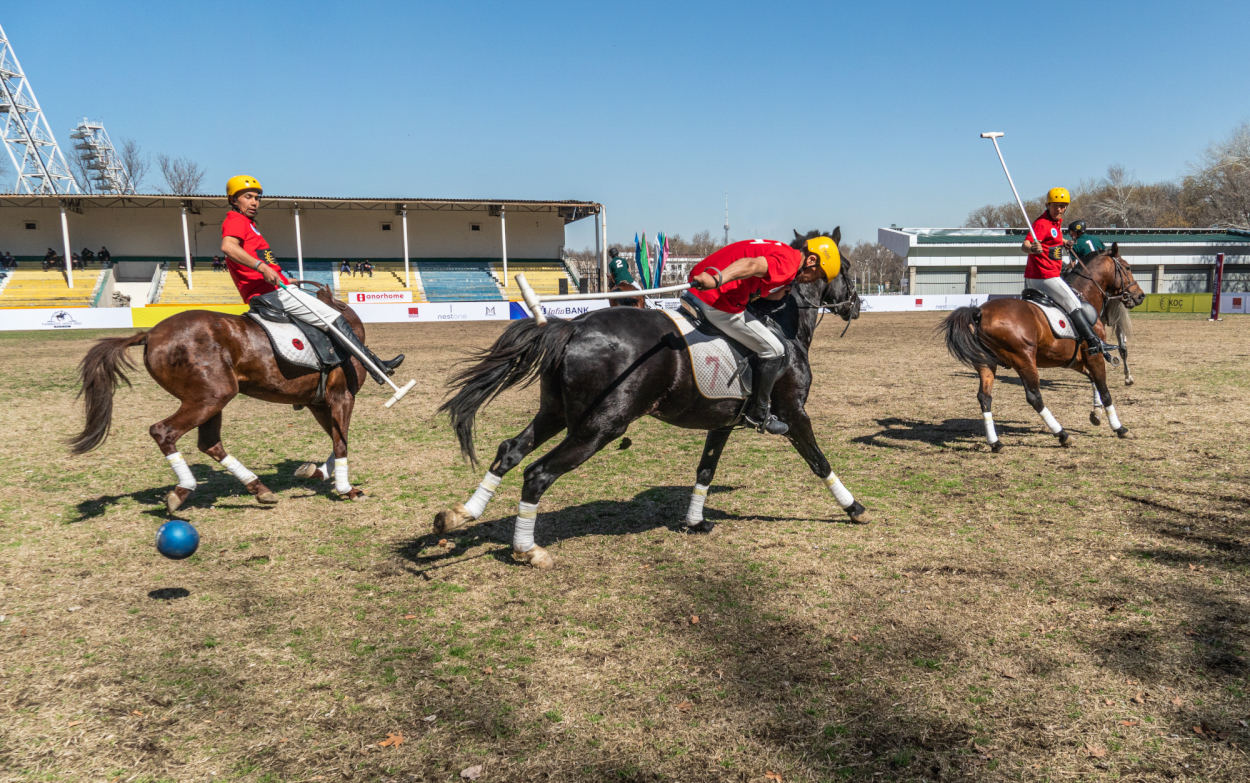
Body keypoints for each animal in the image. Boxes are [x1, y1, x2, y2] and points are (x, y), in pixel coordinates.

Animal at [70, 280, 370, 512]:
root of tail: (151, 334)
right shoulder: (342, 397)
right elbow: (341, 442)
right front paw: (347, 489)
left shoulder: (316, 403)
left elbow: (336, 438)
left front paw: (316, 471)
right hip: (213, 396)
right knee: (163, 431)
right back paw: (183, 490)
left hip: (210, 400)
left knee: (209, 443)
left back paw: (258, 488)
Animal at [435, 225, 865, 567]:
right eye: (845, 266)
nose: (857, 306)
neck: (784, 325)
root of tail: (572, 328)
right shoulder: (793, 411)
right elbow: (819, 461)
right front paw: (854, 508)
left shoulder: (723, 421)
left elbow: (705, 469)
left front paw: (695, 521)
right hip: (601, 427)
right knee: (538, 473)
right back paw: (528, 549)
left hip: (556, 412)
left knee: (510, 450)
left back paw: (461, 514)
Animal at [940, 243, 1145, 450]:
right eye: (1127, 267)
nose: (1140, 296)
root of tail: (979, 312)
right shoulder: (1094, 355)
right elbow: (1104, 390)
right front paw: (1119, 427)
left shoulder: (1077, 360)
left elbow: (1094, 381)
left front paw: (1096, 414)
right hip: (1024, 360)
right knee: (1034, 397)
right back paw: (1062, 434)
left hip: (986, 364)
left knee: (985, 397)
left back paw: (995, 442)